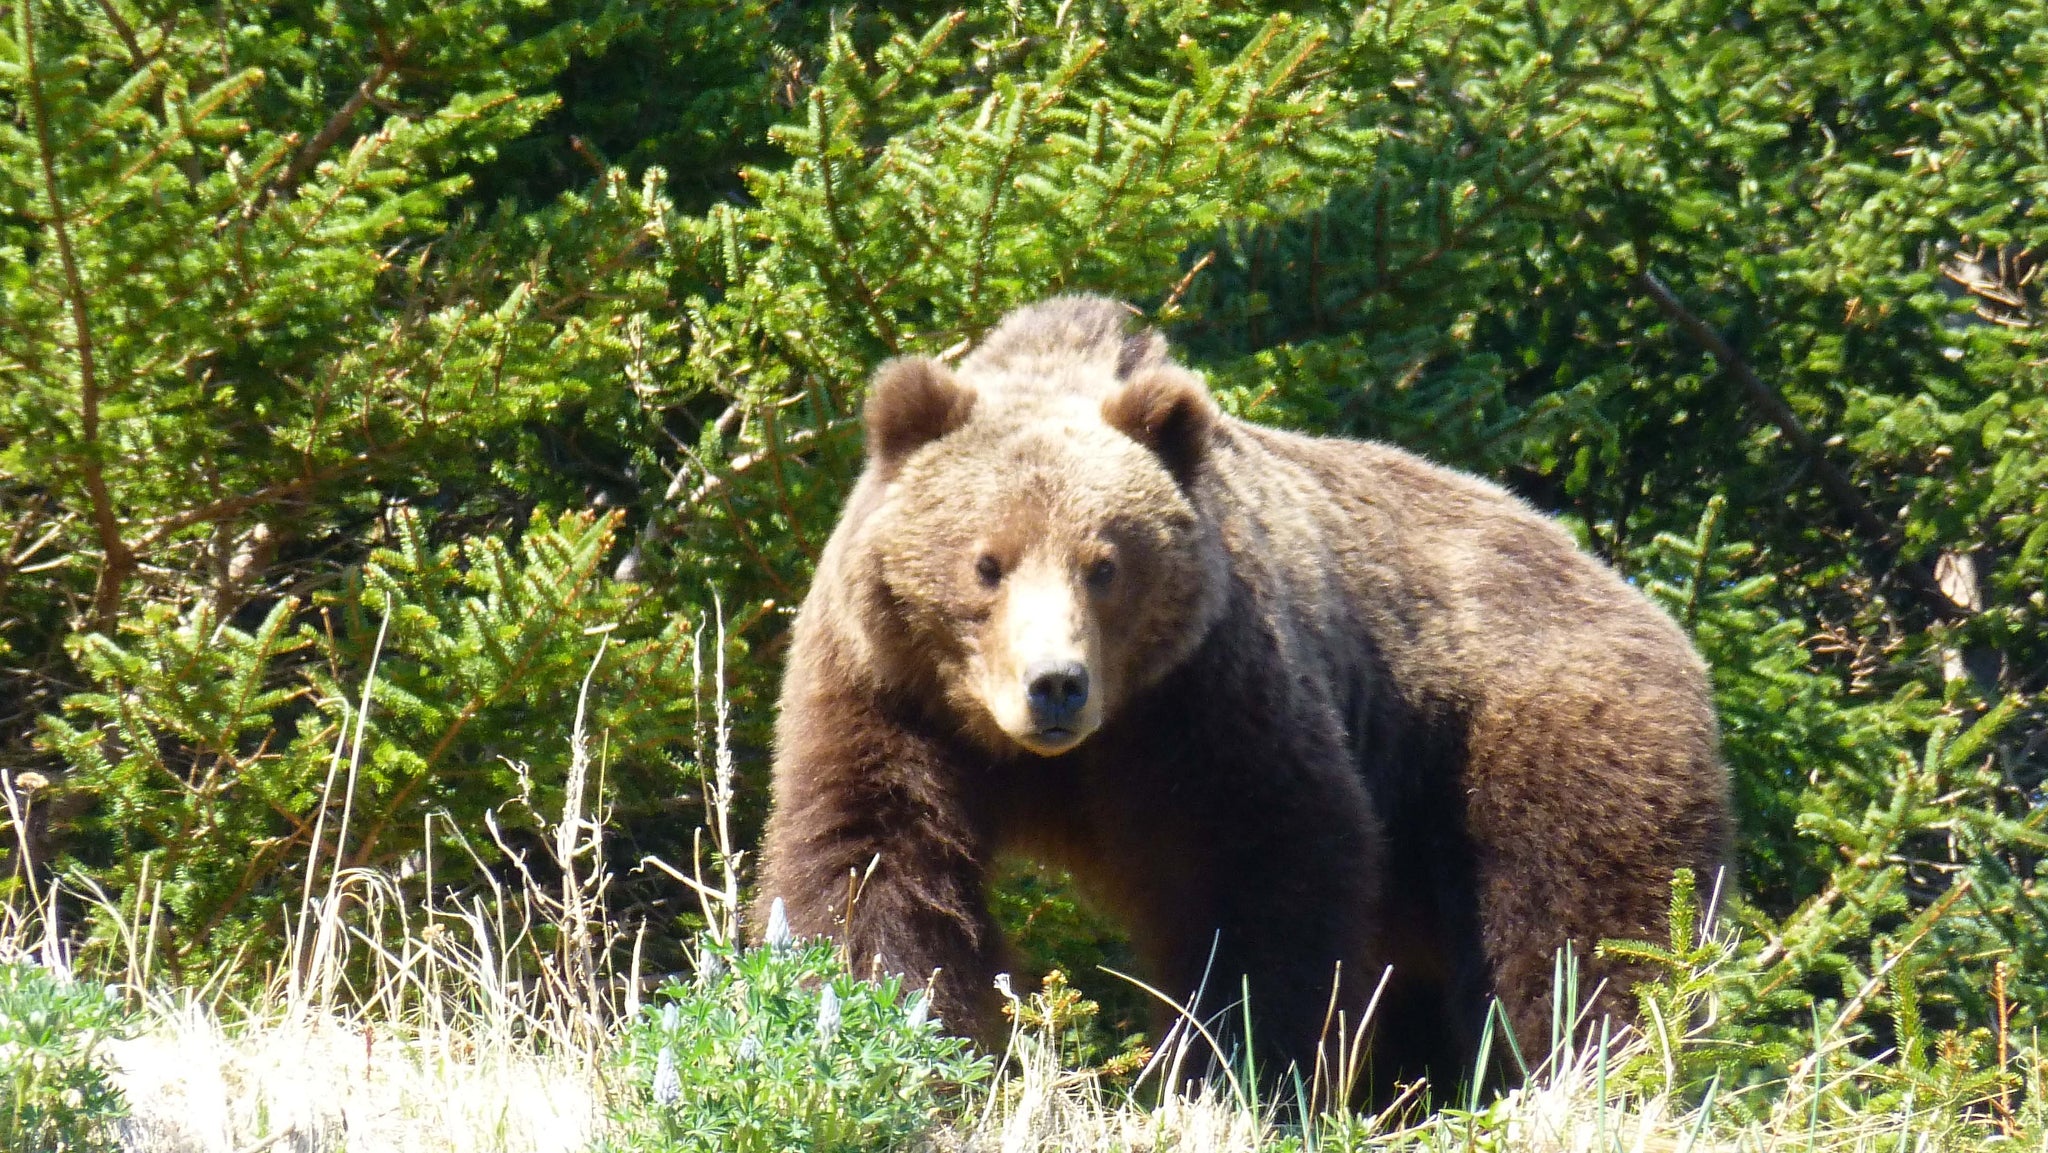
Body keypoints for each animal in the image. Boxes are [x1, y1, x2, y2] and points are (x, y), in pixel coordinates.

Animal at [753, 292, 1728, 1097]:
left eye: (1105, 565)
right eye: (986, 562)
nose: (1055, 686)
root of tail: (1646, 606)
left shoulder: (1205, 696)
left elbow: (1262, 872)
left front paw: (1236, 1065)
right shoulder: (888, 693)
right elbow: (873, 860)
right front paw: (909, 1034)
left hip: (1543, 747)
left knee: (1586, 937)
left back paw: (1600, 1075)